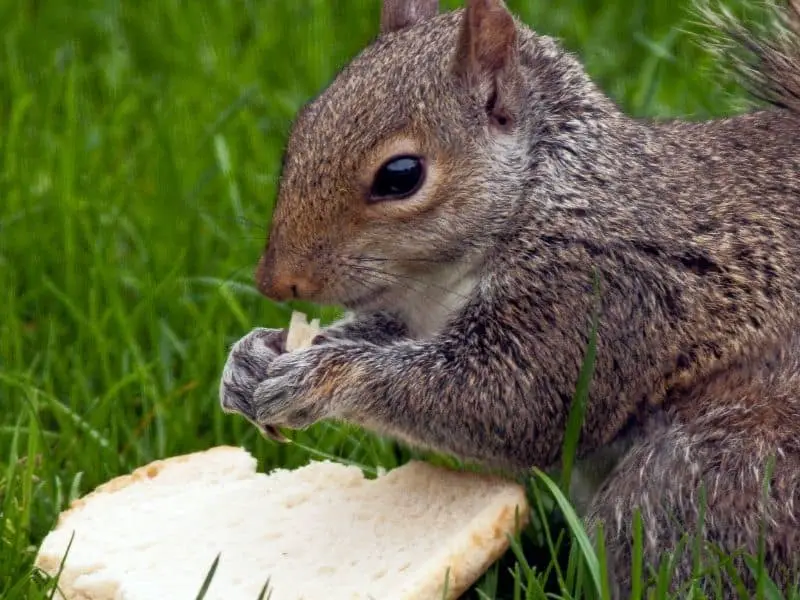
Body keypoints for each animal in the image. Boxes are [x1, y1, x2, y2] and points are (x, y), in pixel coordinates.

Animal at [220, 0, 800, 596]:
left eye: (401, 175)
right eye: (300, 128)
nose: (275, 282)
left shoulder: (597, 290)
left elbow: (510, 400)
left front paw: (322, 376)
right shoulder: (418, 309)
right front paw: (250, 358)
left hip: (720, 470)